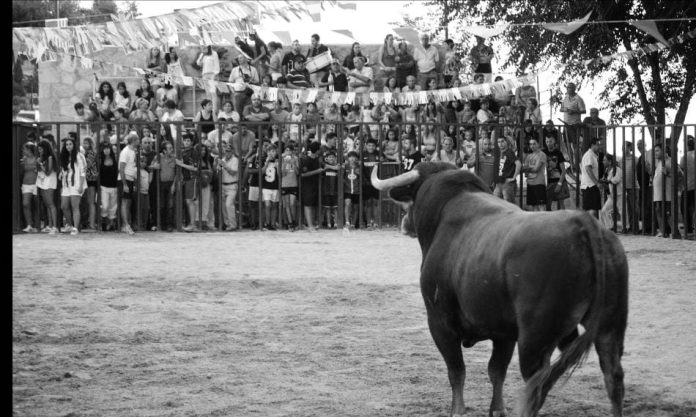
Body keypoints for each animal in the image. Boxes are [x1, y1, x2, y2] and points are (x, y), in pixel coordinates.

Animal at [372, 162, 628, 416]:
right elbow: (496, 371)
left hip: (535, 339)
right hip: (610, 327)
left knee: (536, 385)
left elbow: (457, 371)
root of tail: (583, 224)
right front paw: (497, 410)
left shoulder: (440, 323)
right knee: (612, 376)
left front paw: (458, 410)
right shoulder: (504, 332)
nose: (404, 224)